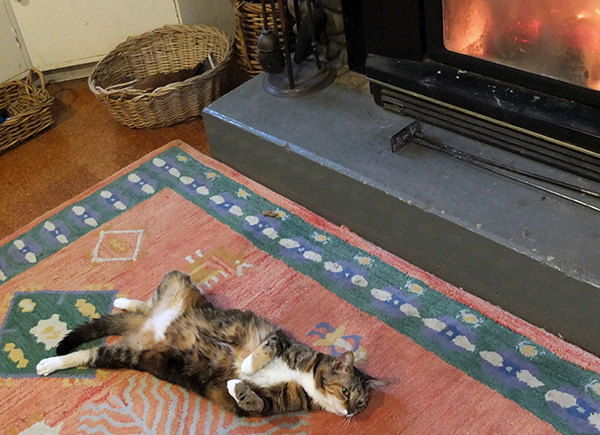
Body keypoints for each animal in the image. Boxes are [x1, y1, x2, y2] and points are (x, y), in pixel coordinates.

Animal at [36, 270, 384, 418]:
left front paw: (236, 384)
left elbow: (253, 402)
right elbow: (266, 348)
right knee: (147, 303)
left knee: (90, 353)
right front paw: (247, 364)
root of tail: (149, 325)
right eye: (346, 391)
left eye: (361, 403)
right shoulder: (279, 337)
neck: (305, 380)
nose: (350, 411)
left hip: (126, 352)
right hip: (179, 280)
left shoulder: (271, 404)